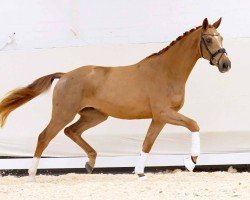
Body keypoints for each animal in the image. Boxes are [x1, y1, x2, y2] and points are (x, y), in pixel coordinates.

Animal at [0, 18, 230, 181]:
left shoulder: (159, 118)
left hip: (95, 116)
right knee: (44, 136)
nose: (226, 64)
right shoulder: (163, 113)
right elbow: (193, 124)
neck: (166, 71)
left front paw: (140, 173)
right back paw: (31, 175)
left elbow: (148, 142)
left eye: (222, 38)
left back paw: (90, 163)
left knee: (71, 131)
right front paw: (190, 162)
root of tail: (64, 75)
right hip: (63, 113)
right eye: (209, 39)